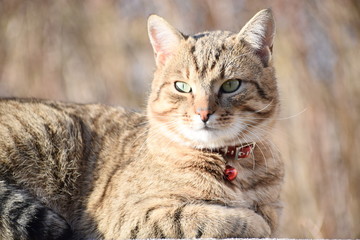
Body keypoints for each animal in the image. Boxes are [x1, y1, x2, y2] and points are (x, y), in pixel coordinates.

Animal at [0, 8, 284, 239]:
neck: (232, 165)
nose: (203, 113)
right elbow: (203, 217)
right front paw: (253, 221)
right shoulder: (128, 217)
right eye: (182, 86)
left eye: (231, 85)